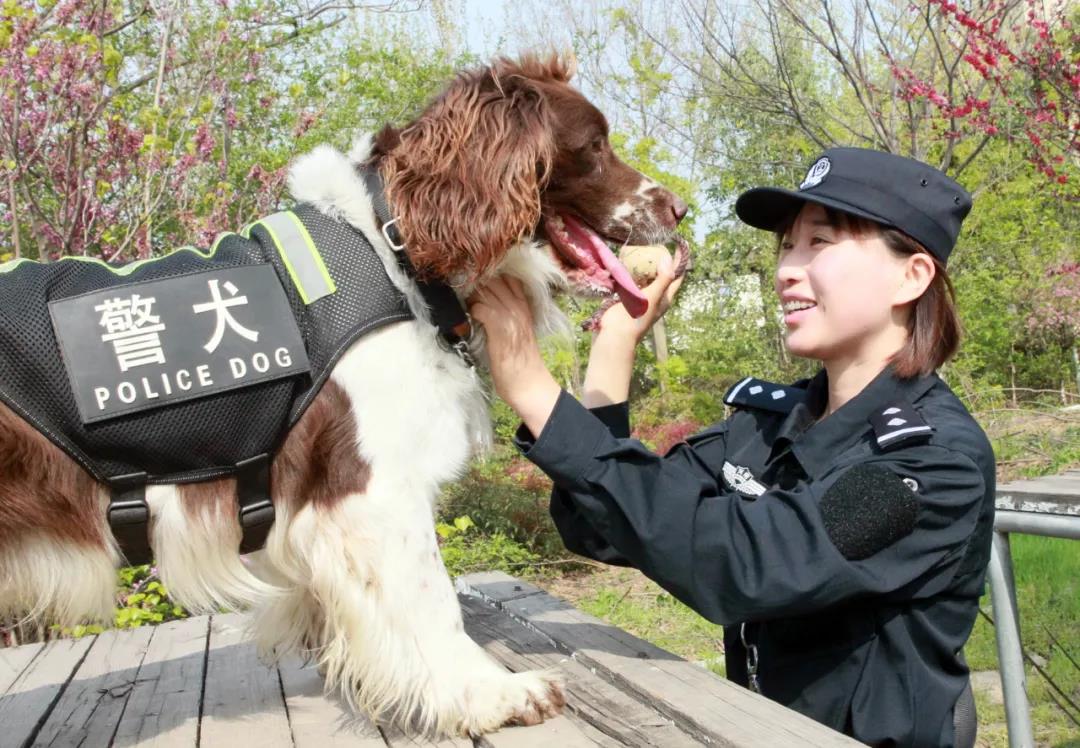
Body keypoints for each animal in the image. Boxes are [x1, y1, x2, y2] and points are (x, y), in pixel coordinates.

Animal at [0, 53, 686, 733]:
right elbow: (434, 600)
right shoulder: (372, 491)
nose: (679, 208)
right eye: (594, 145)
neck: (396, 251)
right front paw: (490, 693)